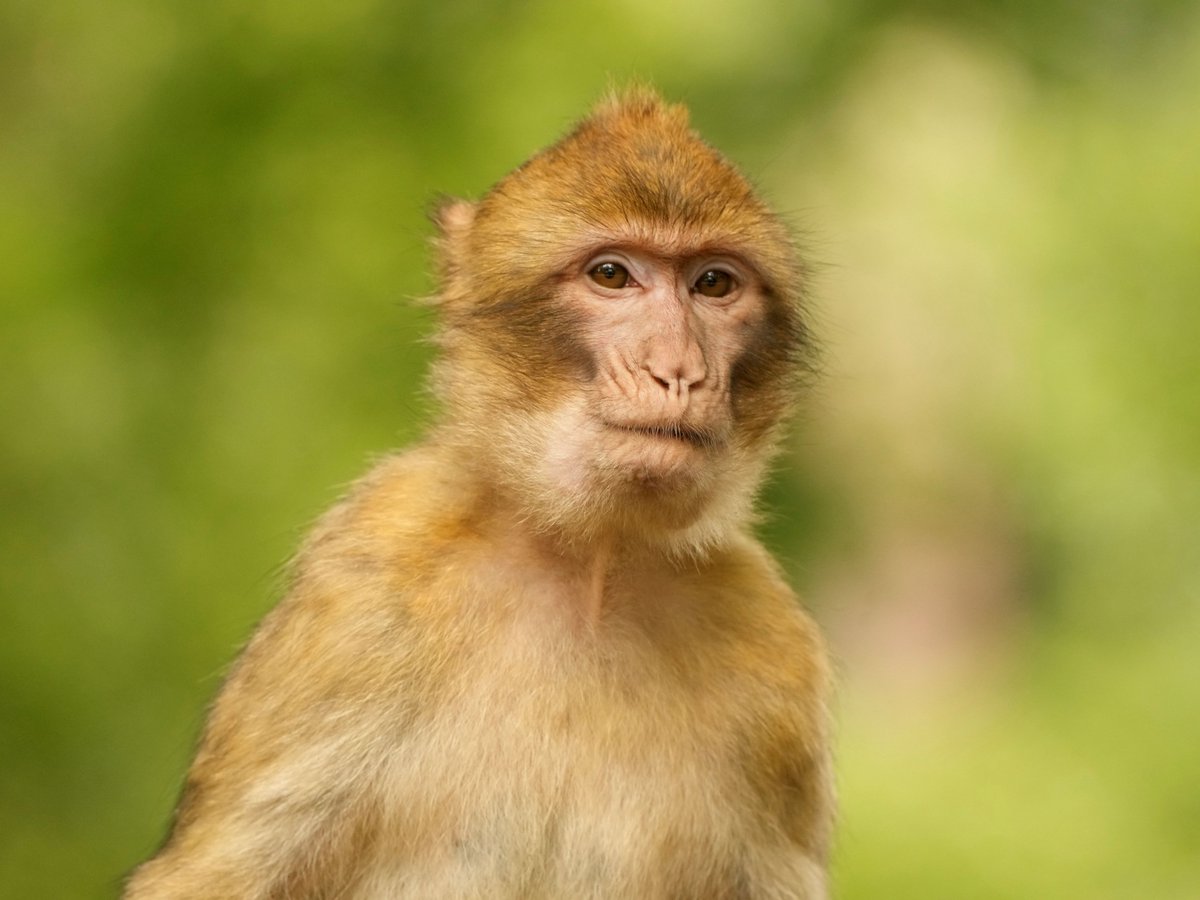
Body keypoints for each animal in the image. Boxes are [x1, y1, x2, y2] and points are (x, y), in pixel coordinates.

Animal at [124, 87, 834, 899]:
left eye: (713, 284)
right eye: (612, 275)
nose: (679, 371)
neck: (590, 566)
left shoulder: (776, 657)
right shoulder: (362, 584)